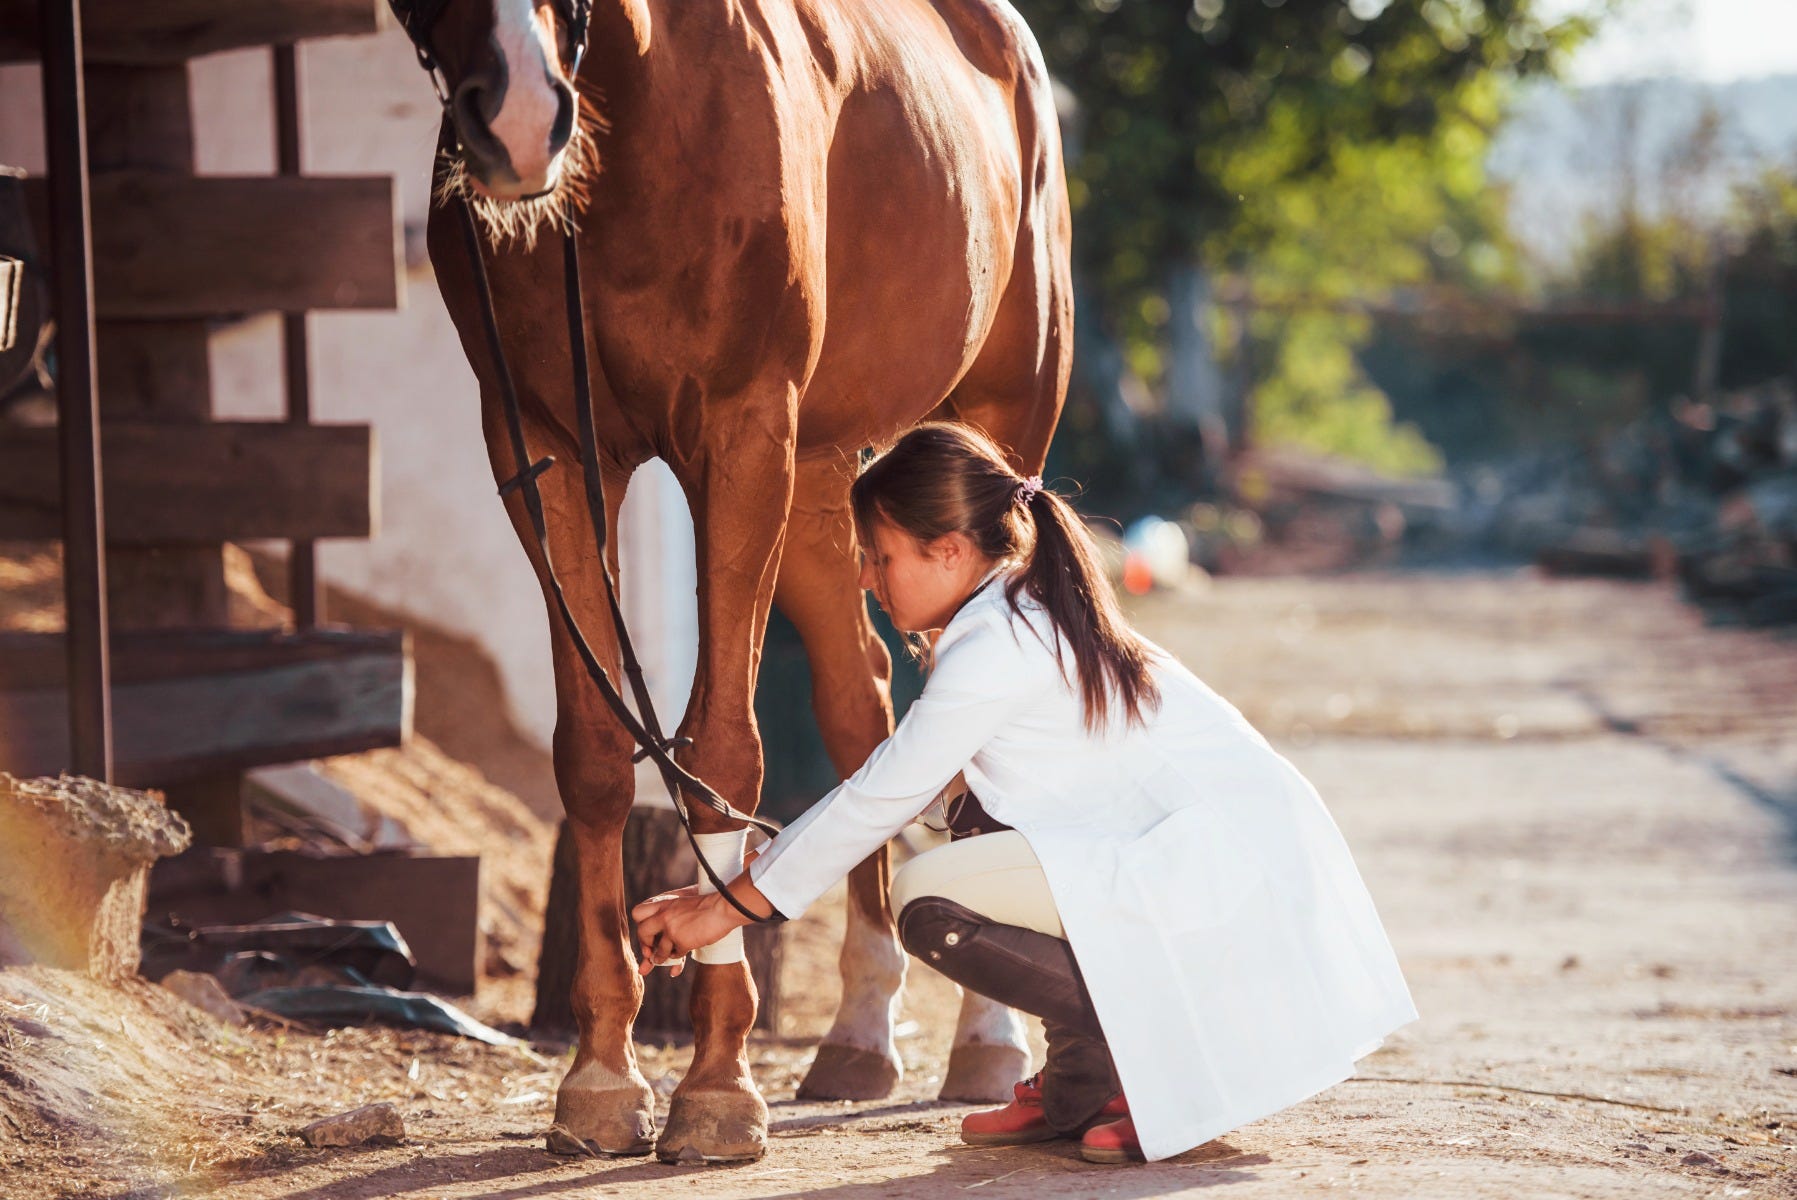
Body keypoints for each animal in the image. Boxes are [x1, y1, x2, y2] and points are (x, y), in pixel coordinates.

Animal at [407, 0, 1071, 1164]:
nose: (520, 118)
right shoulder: (543, 446)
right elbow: (594, 756)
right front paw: (601, 1075)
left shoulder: (742, 435)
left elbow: (718, 750)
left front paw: (716, 1085)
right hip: (826, 485)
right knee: (862, 704)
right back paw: (860, 1032)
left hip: (987, 426)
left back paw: (986, 1041)